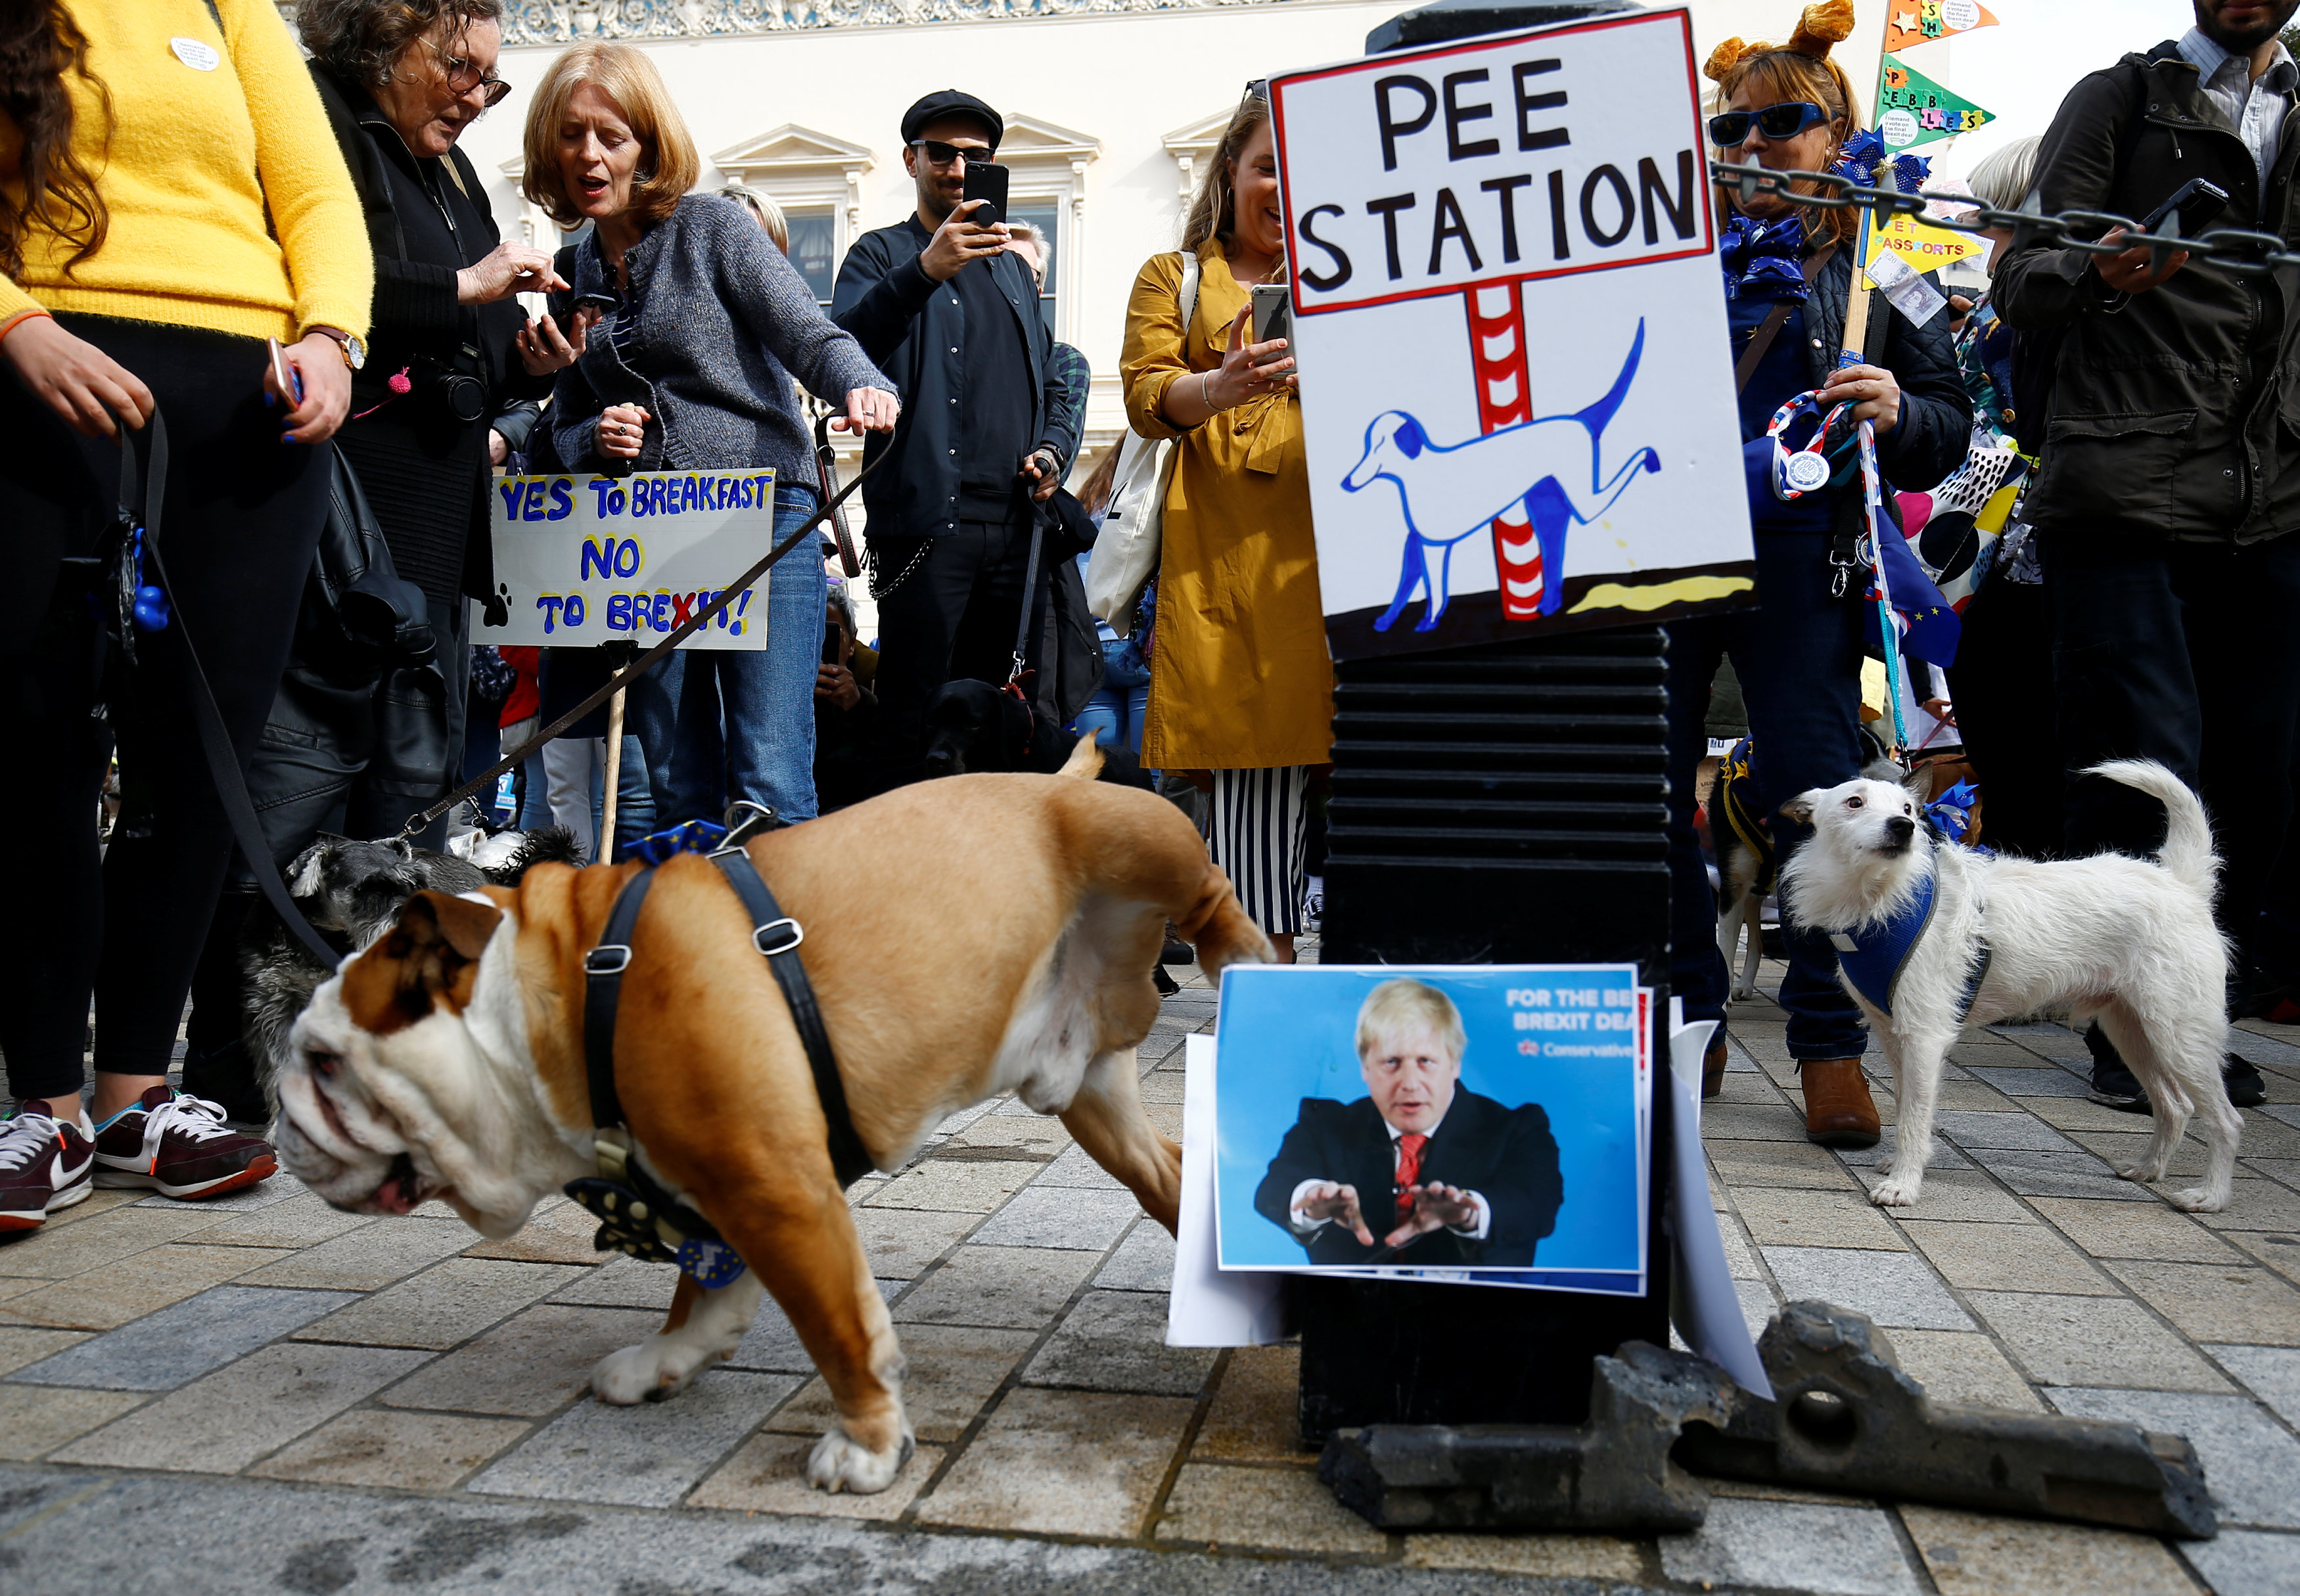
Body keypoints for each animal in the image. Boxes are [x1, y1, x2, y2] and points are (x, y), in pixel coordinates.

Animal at [1766, 764, 2236, 1214]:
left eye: (1908, 808)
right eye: (1854, 802)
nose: (1905, 828)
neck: (1883, 897)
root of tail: (2181, 883)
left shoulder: (1924, 1037)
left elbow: (1914, 1118)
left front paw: (1903, 1184)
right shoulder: (1893, 1034)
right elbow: (1904, 1106)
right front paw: (1900, 1165)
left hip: (2181, 1036)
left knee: (2226, 1120)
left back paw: (2210, 1197)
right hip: (2133, 1031)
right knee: (2175, 1106)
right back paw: (2148, 1169)